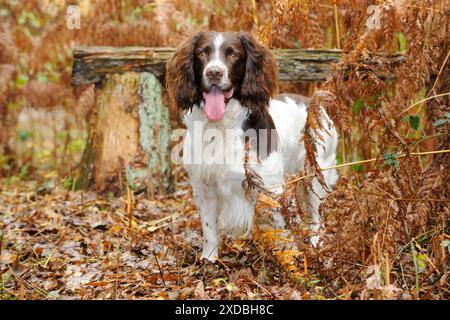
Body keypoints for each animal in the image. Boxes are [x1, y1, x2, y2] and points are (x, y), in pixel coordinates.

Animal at [166, 31, 338, 262]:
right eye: (202, 53)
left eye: (233, 54)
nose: (214, 73)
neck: (221, 126)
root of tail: (314, 103)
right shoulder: (203, 186)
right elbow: (209, 229)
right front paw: (209, 258)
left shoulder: (269, 186)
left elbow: (280, 225)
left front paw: (287, 255)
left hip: (315, 174)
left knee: (316, 214)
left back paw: (314, 240)